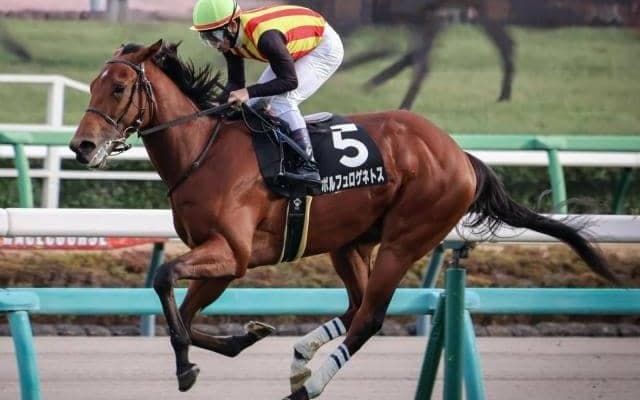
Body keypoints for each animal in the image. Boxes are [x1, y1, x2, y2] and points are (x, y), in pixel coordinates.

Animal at [69, 39, 618, 400]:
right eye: (94, 83)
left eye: (119, 86)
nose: (82, 146)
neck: (204, 152)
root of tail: (460, 154)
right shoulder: (225, 259)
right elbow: (184, 313)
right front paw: (244, 338)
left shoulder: (231, 253)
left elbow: (165, 280)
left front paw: (188, 363)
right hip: (350, 243)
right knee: (356, 307)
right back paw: (300, 358)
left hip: (405, 238)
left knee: (370, 316)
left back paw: (308, 385)